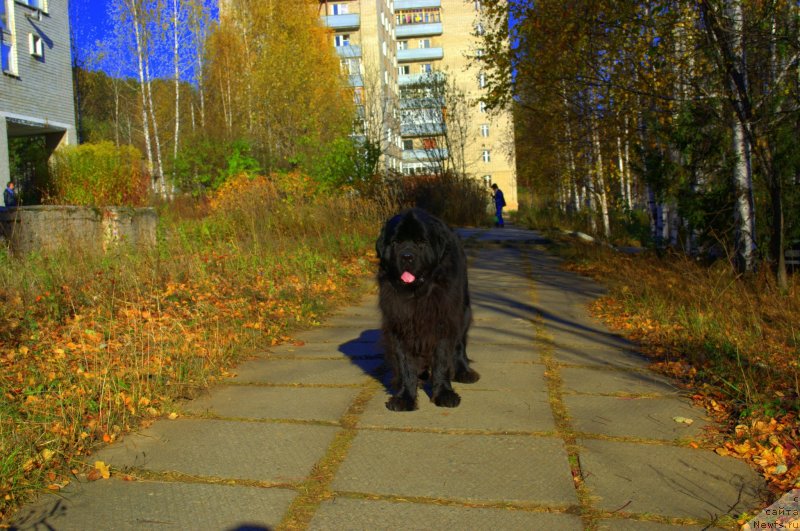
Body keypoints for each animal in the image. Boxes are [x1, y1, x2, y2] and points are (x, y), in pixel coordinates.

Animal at [376, 208, 482, 412]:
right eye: (396, 242)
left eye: (421, 242)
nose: (407, 256)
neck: (418, 294)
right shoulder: (400, 324)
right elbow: (405, 363)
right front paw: (405, 397)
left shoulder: (443, 320)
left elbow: (442, 359)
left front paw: (444, 394)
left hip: (463, 312)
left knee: (459, 345)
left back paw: (464, 372)